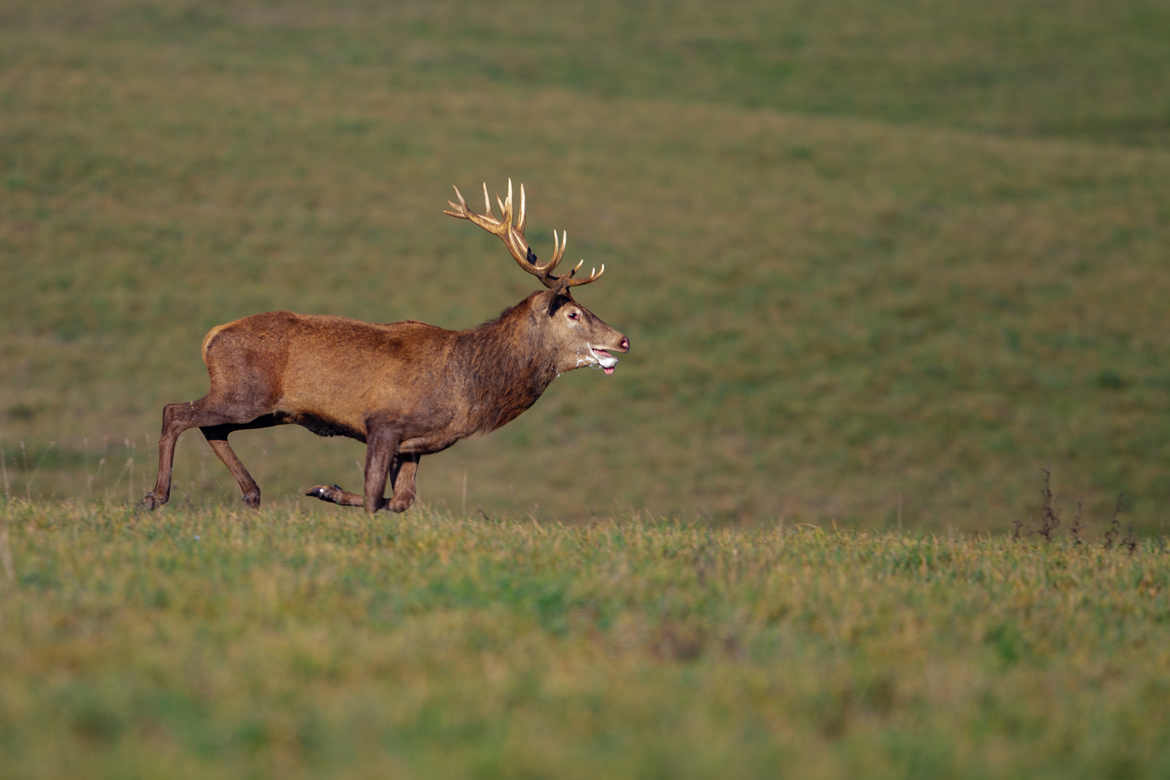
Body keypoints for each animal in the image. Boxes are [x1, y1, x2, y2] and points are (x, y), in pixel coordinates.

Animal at [143, 180, 631, 514]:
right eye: (574, 314)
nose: (622, 339)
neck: (467, 385)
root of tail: (211, 337)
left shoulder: (414, 445)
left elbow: (400, 501)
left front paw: (326, 490)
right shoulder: (382, 423)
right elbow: (376, 493)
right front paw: (330, 492)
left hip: (266, 408)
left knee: (211, 427)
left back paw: (251, 493)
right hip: (245, 392)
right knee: (175, 411)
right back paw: (156, 496)